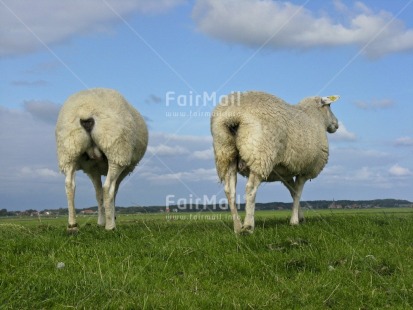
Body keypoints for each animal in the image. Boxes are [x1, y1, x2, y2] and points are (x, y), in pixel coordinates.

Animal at [55, 88, 147, 231]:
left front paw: (101, 221)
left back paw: (72, 225)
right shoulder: (123, 169)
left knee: (69, 185)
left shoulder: (92, 169)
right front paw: (109, 219)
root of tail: (86, 111)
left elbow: (98, 195)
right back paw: (110, 227)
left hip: (69, 150)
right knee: (107, 188)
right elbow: (113, 192)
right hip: (116, 150)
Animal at [211, 91, 340, 234]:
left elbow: (292, 192)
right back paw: (248, 226)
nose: (337, 124)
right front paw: (294, 221)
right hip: (260, 155)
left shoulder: (286, 173)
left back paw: (238, 228)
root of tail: (232, 115)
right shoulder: (305, 170)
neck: (315, 117)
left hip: (225, 153)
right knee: (250, 189)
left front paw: (300, 217)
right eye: (329, 106)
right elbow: (298, 193)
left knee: (229, 191)